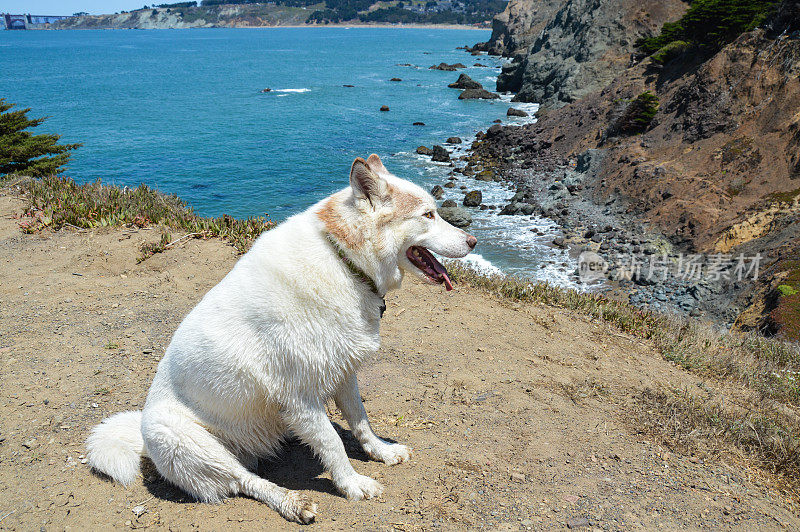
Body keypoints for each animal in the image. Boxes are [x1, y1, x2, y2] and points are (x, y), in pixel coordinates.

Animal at [87, 154, 476, 524]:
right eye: (428, 215)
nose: (473, 241)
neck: (343, 261)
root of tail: (140, 435)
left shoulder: (343, 373)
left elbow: (360, 421)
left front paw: (381, 451)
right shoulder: (300, 398)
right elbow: (333, 443)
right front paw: (352, 484)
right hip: (187, 442)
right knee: (244, 481)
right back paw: (292, 503)